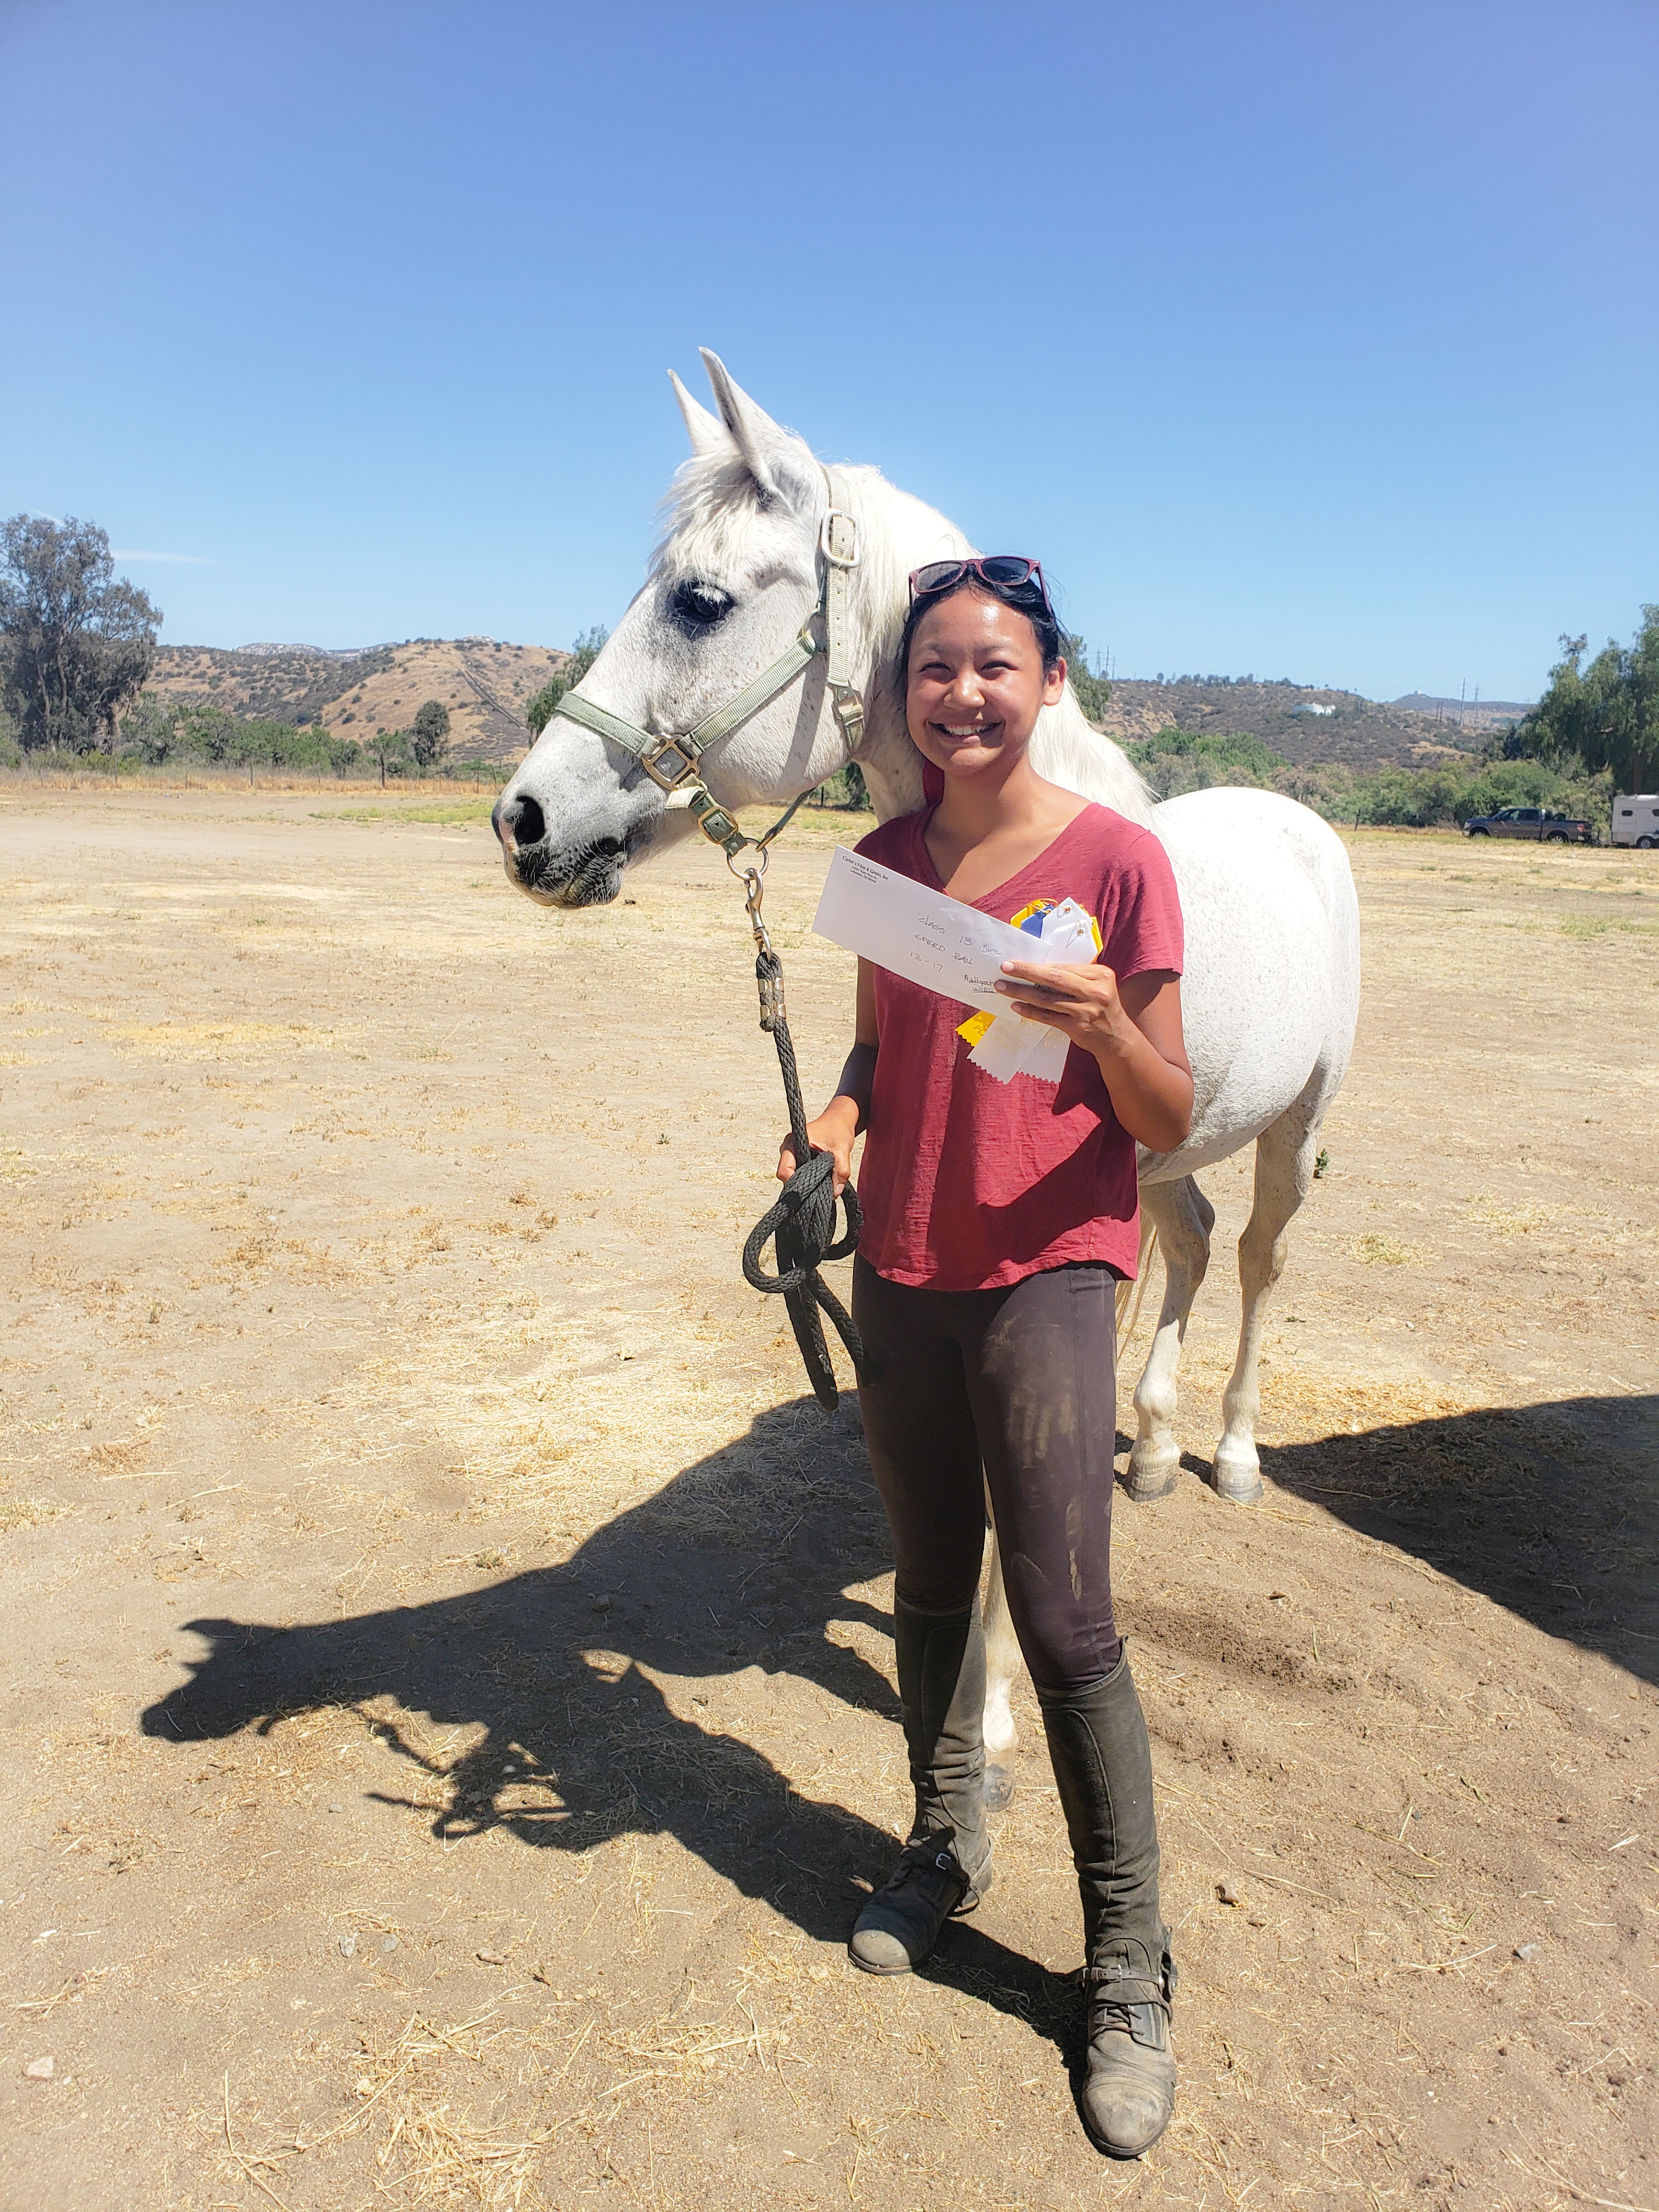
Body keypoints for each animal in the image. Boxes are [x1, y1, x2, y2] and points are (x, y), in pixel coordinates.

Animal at [493, 345, 1362, 1796]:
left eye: (699, 599)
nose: (522, 822)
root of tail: (1297, 821)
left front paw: (995, 1721)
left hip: (1299, 1124)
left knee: (1258, 1259)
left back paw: (1233, 1455)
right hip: (1174, 1165)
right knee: (1194, 1245)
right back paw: (1155, 1453)